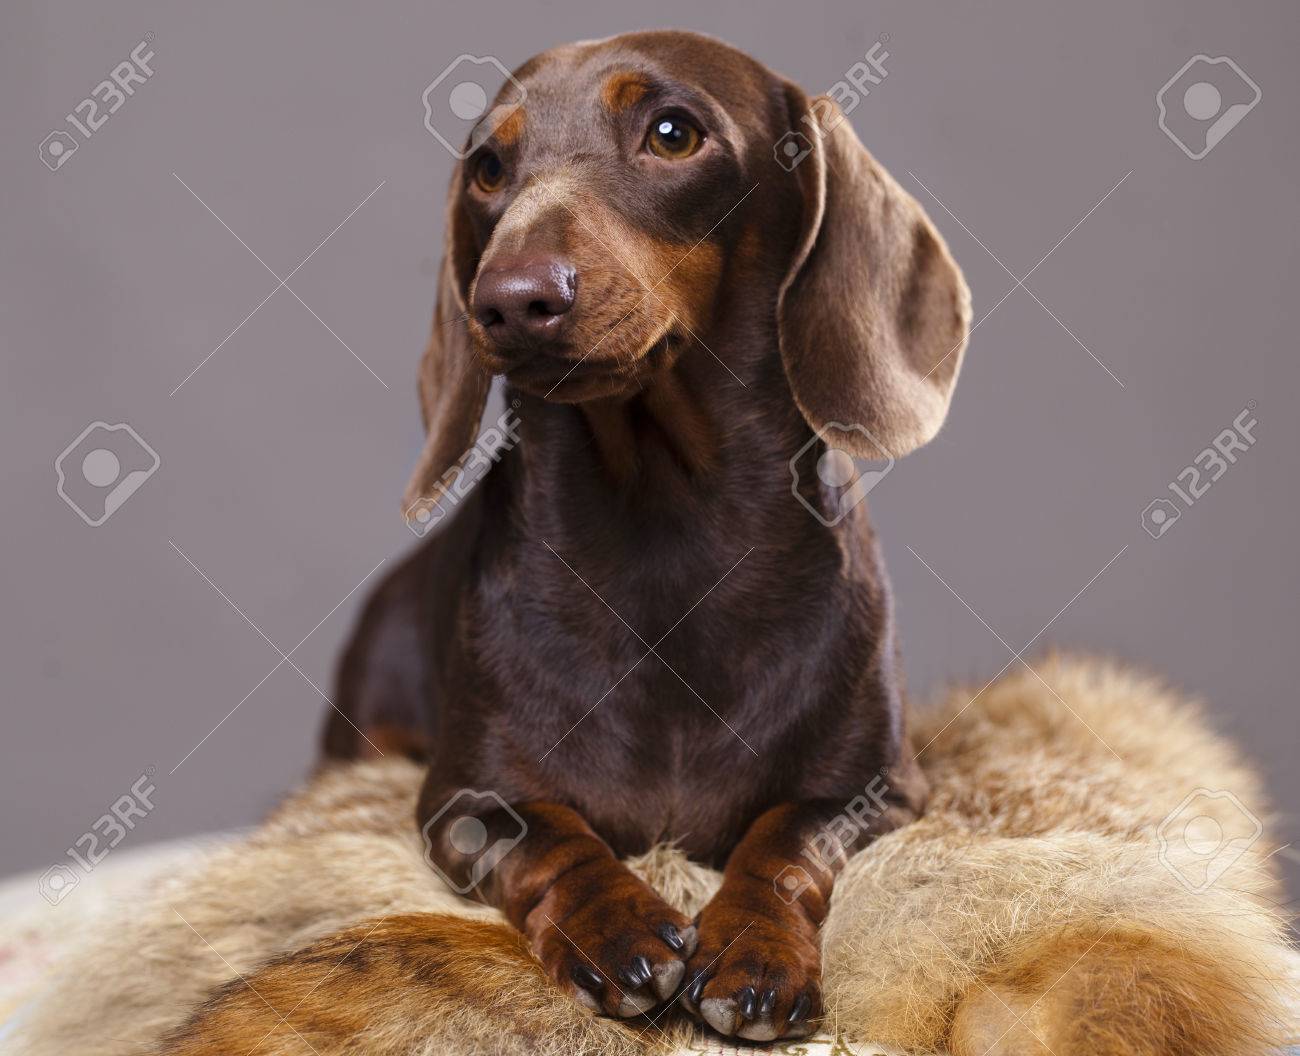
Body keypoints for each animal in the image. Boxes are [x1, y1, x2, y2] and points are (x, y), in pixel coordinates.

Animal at [323, 29, 970, 1043]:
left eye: (673, 133)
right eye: (489, 168)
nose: (508, 299)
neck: (665, 527)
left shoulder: (877, 791)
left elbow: (783, 839)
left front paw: (754, 949)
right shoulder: (462, 802)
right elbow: (553, 839)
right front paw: (617, 923)